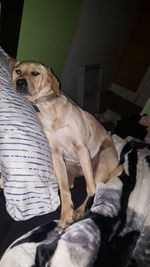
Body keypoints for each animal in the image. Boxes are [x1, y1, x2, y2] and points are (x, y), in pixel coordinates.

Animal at [8, 60, 122, 228]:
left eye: (35, 73)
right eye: (18, 71)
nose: (20, 82)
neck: (48, 107)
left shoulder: (81, 147)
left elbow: (91, 188)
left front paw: (75, 211)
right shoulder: (56, 155)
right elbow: (63, 189)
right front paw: (66, 213)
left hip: (102, 161)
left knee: (94, 186)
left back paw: (80, 210)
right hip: (66, 166)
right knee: (71, 184)